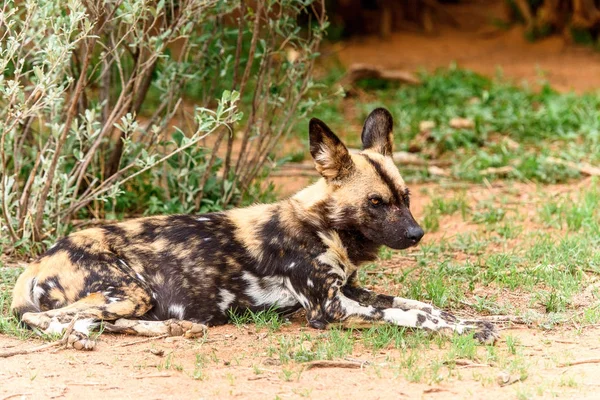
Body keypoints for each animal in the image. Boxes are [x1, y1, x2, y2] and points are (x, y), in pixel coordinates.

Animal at [11, 107, 496, 350]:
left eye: (406, 197)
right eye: (375, 203)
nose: (416, 235)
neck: (324, 227)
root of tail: (40, 259)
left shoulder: (352, 291)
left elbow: (425, 306)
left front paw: (470, 321)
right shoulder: (330, 309)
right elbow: (413, 315)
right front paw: (466, 332)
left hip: (133, 300)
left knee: (98, 322)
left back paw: (175, 330)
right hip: (128, 292)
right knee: (50, 321)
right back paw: (77, 338)